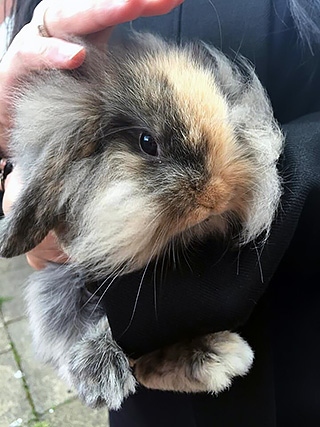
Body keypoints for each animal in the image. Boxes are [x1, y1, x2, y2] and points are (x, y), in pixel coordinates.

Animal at [0, 33, 282, 412]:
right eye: (147, 143)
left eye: (228, 121)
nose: (217, 198)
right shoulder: (58, 283)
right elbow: (83, 325)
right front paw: (103, 378)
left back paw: (220, 355)